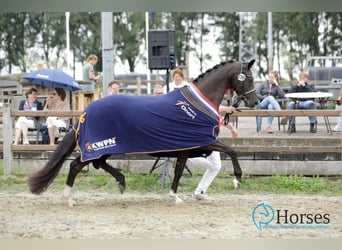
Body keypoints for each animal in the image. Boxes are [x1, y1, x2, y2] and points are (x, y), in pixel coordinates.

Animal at [28, 59, 256, 206]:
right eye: (249, 78)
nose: (253, 102)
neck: (195, 106)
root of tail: (85, 113)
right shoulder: (200, 142)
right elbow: (230, 150)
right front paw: (237, 179)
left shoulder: (188, 148)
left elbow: (179, 170)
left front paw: (176, 195)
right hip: (98, 146)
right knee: (77, 165)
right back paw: (69, 197)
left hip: (107, 147)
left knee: (99, 163)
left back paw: (121, 181)